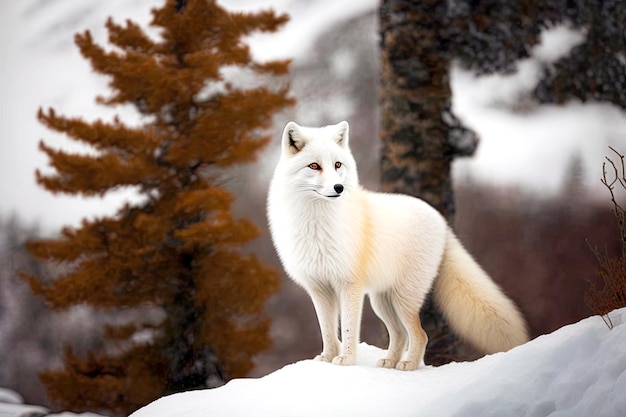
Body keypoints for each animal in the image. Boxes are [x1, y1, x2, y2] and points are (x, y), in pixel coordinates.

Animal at [266, 120, 528, 370]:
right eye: (314, 166)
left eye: (338, 165)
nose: (338, 188)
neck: (316, 224)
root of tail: (441, 222)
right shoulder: (319, 288)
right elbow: (328, 331)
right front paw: (327, 358)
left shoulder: (349, 285)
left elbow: (349, 329)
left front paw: (347, 360)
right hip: (382, 301)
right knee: (400, 335)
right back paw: (389, 363)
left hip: (403, 300)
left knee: (420, 335)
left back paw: (408, 366)